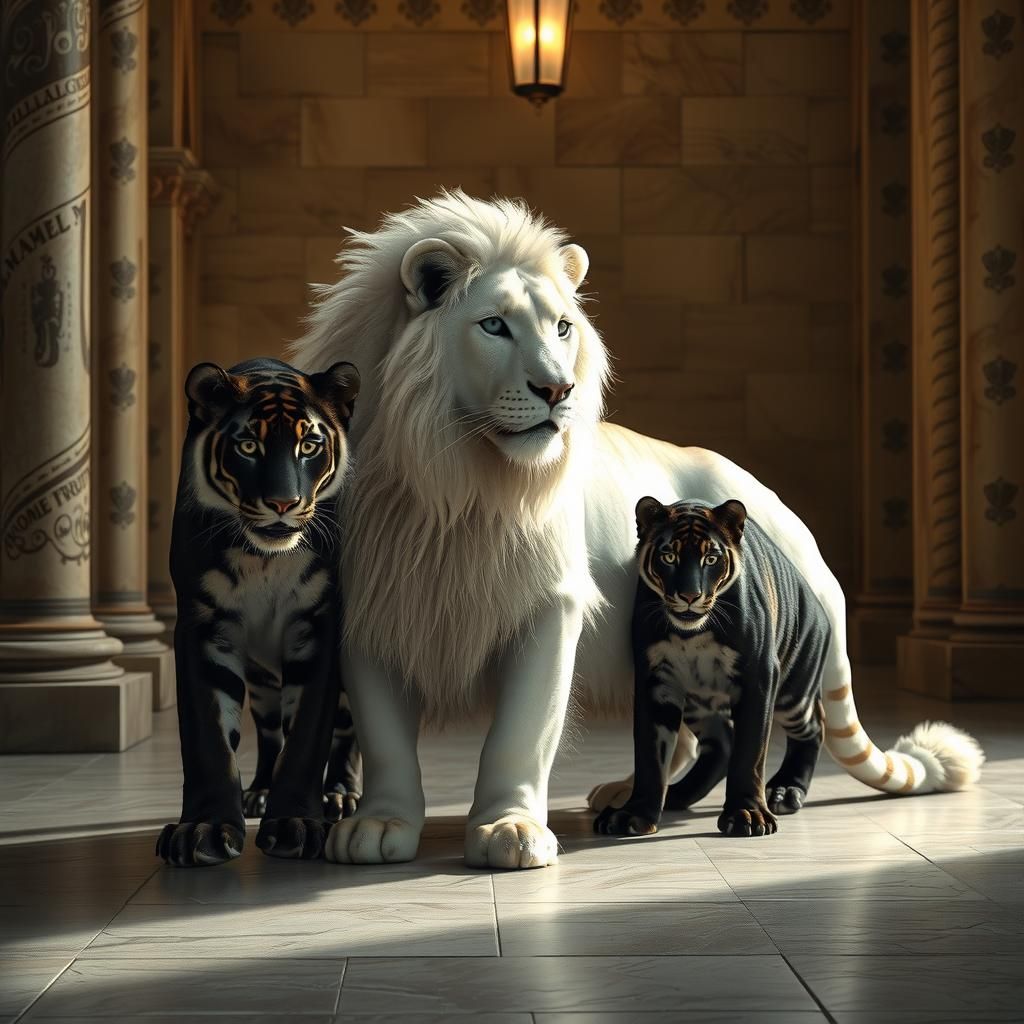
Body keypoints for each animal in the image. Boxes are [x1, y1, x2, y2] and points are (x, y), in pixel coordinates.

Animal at [291, 191, 983, 870]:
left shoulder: (549, 606)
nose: (558, 389)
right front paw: (380, 824)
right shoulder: (374, 602)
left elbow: (522, 729)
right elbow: (383, 735)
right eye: (494, 325)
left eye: (562, 327)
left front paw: (511, 831)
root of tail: (809, 550)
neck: (459, 486)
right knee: (701, 736)